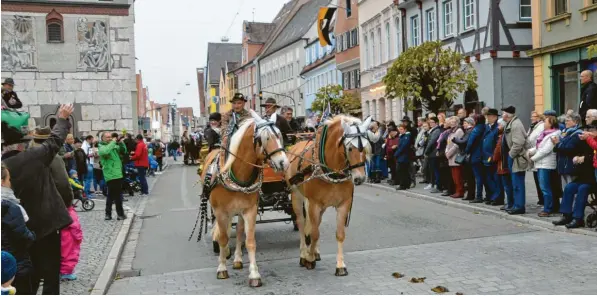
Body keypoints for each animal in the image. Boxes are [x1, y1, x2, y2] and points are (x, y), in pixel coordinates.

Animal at [198, 109, 288, 286]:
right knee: (224, 232)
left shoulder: (250, 210)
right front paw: (221, 268)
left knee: (239, 231)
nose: (284, 163)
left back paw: (238, 260)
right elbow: (223, 238)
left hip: (239, 210)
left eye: (280, 135)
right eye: (265, 138)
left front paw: (254, 274)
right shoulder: (220, 212)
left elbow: (250, 241)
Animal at [286, 115, 374, 276]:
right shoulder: (314, 203)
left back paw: (315, 252)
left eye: (366, 147)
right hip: (296, 196)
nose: (359, 178)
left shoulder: (343, 204)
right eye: (350, 148)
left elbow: (339, 234)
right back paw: (304, 254)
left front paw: (340, 266)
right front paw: (309, 259)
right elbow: (314, 233)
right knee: (301, 224)